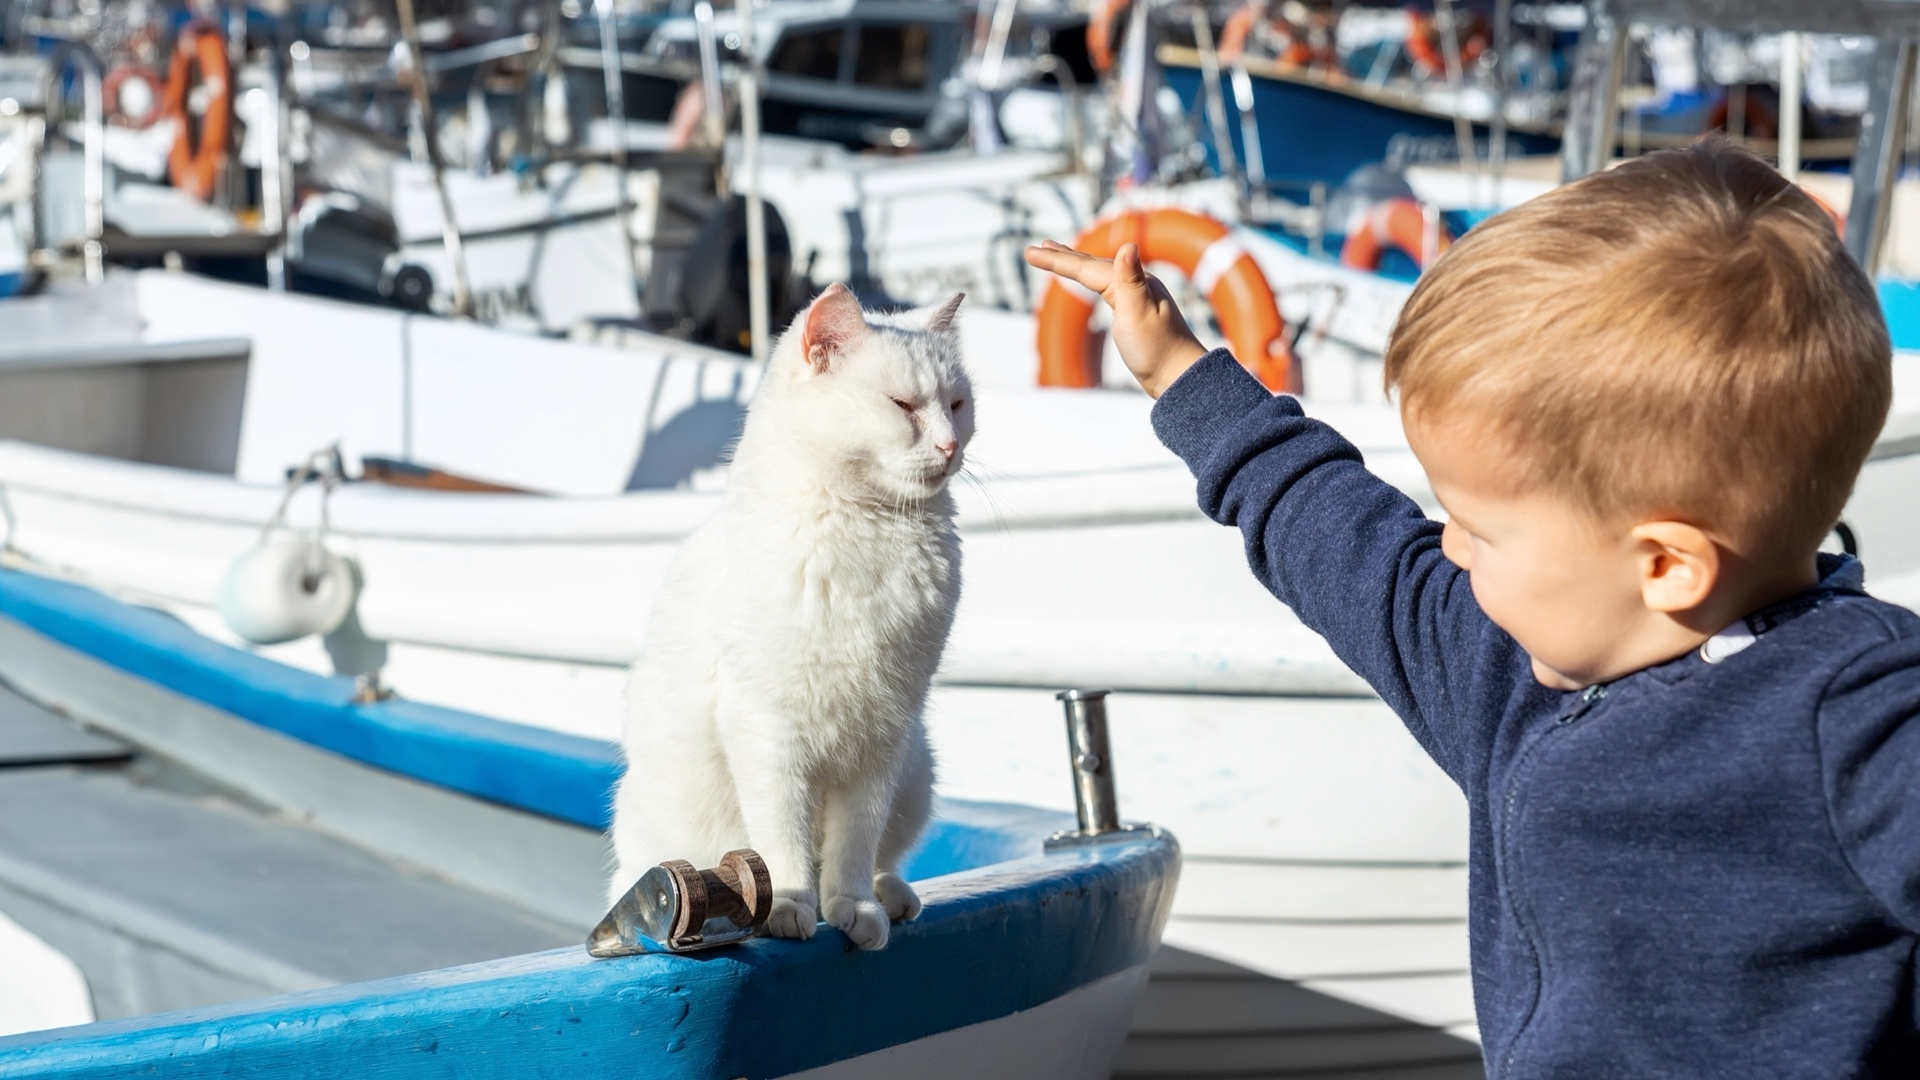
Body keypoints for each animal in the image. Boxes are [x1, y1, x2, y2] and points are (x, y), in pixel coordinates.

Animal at [606, 282, 975, 945]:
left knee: (883, 855)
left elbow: (854, 845)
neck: (870, 528)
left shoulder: (882, 737)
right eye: (903, 405)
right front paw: (786, 905)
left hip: (916, 770)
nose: (951, 445)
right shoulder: (767, 733)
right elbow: (782, 841)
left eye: (958, 405)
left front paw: (854, 907)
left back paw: (890, 896)